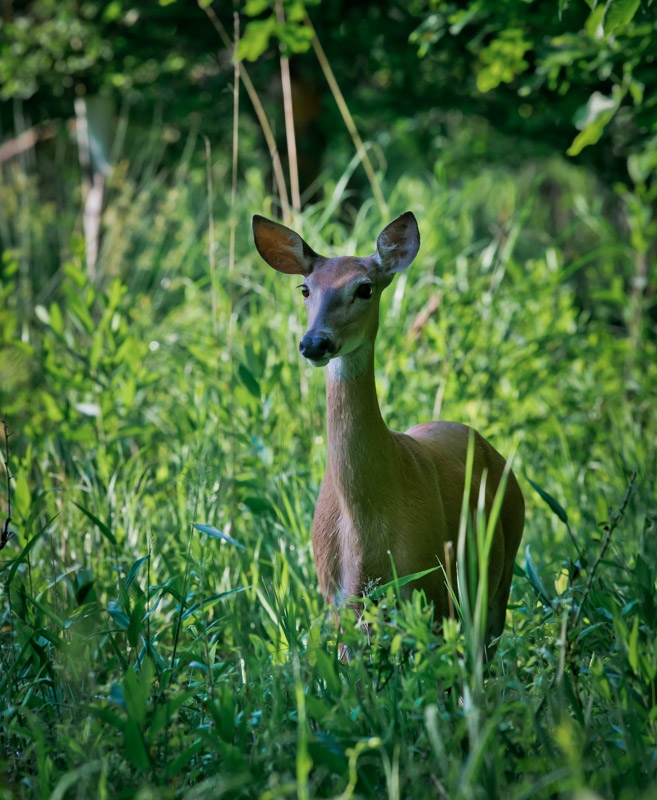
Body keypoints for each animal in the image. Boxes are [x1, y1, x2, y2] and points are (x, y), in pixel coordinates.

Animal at [252, 211, 525, 657]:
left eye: (364, 288)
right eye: (305, 288)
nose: (314, 342)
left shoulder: (430, 587)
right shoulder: (339, 601)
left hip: (499, 571)